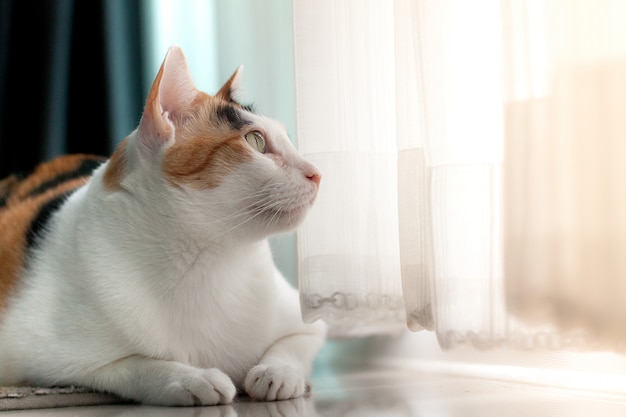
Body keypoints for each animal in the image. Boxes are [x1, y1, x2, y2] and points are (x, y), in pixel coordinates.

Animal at [0, 46, 324, 406]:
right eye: (255, 141)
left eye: (288, 139)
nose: (317, 173)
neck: (211, 261)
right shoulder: (48, 359)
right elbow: (132, 366)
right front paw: (192, 379)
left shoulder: (306, 320)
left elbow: (294, 343)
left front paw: (277, 374)